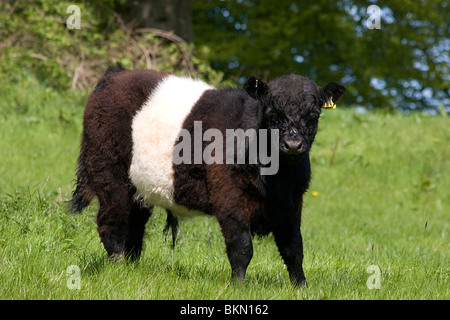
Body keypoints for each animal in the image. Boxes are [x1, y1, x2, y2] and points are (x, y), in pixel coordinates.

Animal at [70, 63, 346, 286]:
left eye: (314, 114)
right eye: (272, 112)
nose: (293, 144)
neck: (277, 178)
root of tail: (115, 73)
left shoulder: (293, 202)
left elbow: (294, 248)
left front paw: (301, 287)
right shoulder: (229, 196)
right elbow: (241, 247)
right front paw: (238, 287)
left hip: (137, 188)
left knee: (134, 226)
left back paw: (132, 268)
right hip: (109, 173)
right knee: (112, 222)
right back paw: (117, 267)